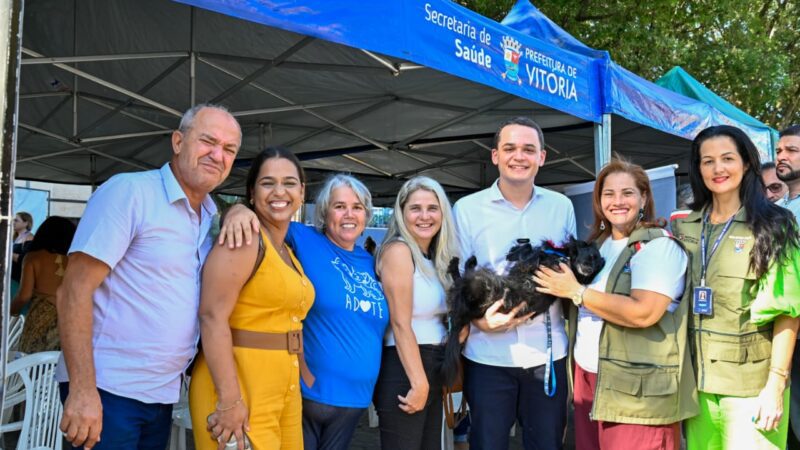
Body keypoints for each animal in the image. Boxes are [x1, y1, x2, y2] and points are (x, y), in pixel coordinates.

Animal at [440, 237, 604, 384]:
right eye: (591, 257)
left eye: (596, 263)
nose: (589, 269)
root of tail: (461, 315)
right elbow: (530, 249)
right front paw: (515, 251)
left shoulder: (535, 268)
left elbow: (531, 257)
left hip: (483, 282)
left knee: (462, 278)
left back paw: (461, 264)